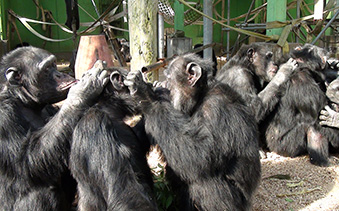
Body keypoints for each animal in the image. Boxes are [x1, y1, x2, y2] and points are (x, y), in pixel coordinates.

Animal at [0, 46, 108, 211]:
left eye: (54, 65)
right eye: (46, 69)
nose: (59, 74)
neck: (23, 99)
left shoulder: (51, 110)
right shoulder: (3, 115)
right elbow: (26, 160)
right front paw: (84, 88)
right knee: (42, 192)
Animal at [124, 53, 260, 211]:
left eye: (169, 79)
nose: (162, 84)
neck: (200, 96)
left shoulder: (217, 109)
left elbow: (199, 155)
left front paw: (145, 93)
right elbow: (135, 140)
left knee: (204, 182)